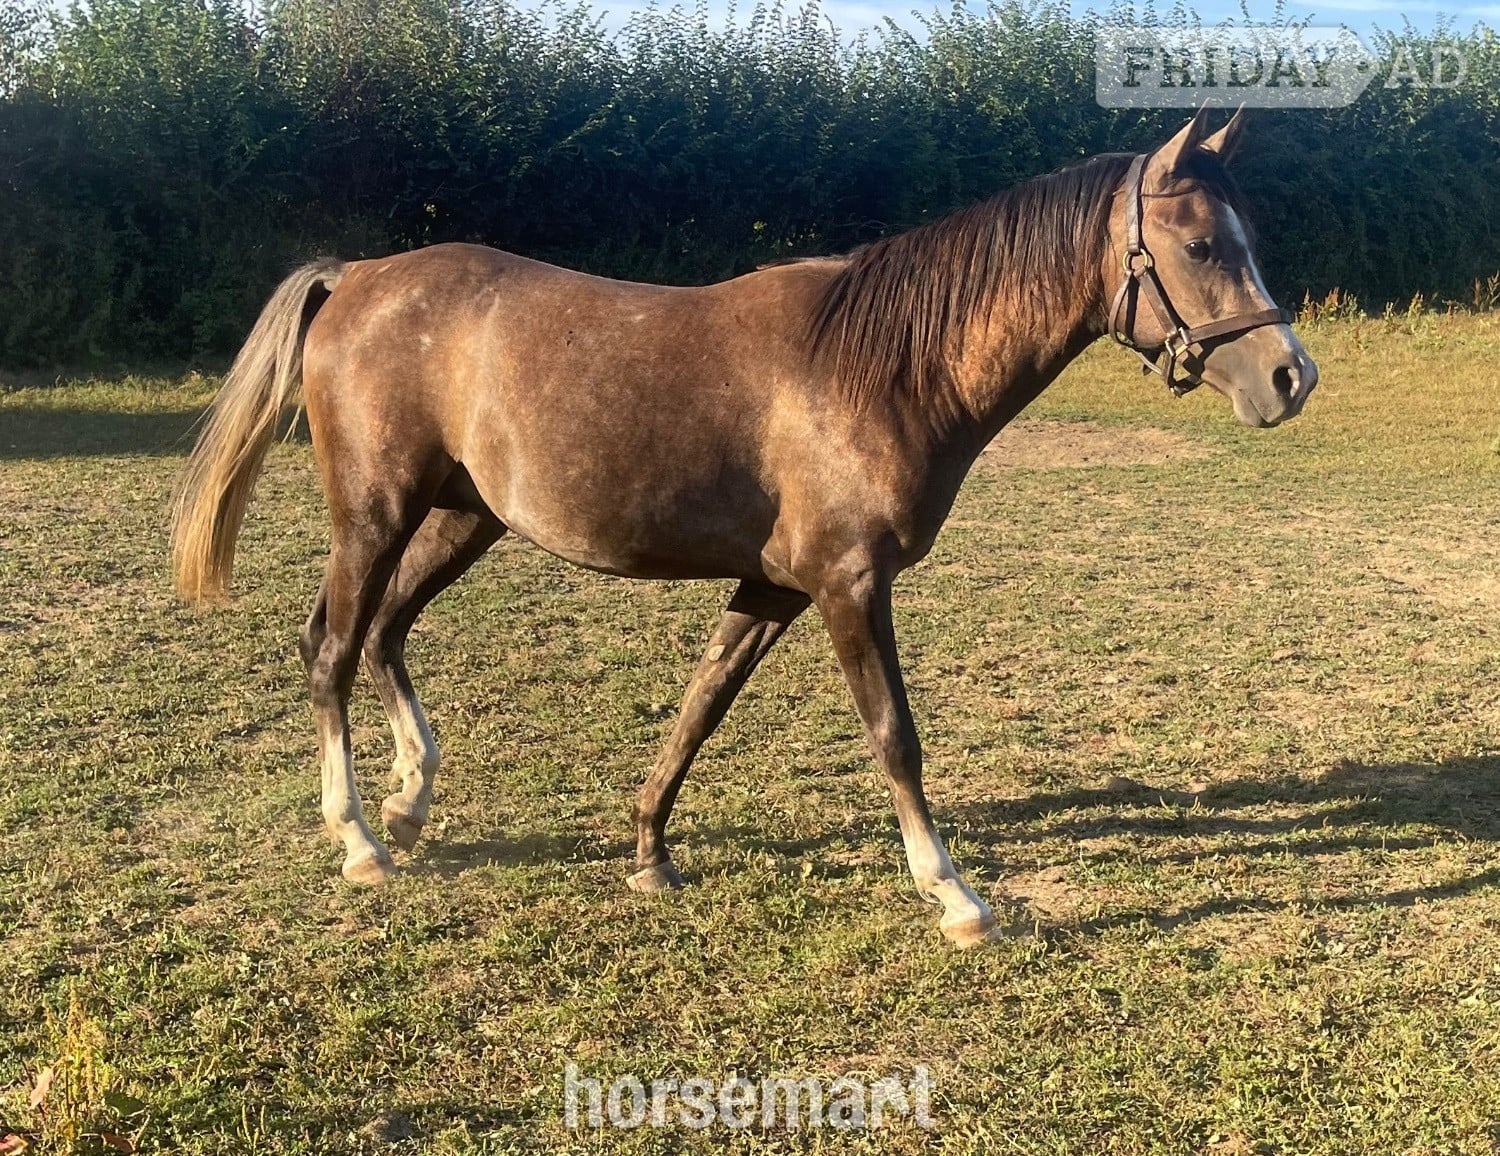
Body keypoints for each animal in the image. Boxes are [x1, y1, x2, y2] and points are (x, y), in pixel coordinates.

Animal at [171, 108, 1316, 946]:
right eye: (1199, 244)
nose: (1290, 378)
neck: (882, 366)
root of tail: (357, 277)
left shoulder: (774, 588)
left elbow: (698, 708)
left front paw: (648, 850)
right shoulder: (849, 584)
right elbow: (895, 737)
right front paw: (954, 895)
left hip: (463, 517)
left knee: (387, 633)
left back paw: (411, 802)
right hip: (375, 513)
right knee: (331, 646)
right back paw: (360, 837)